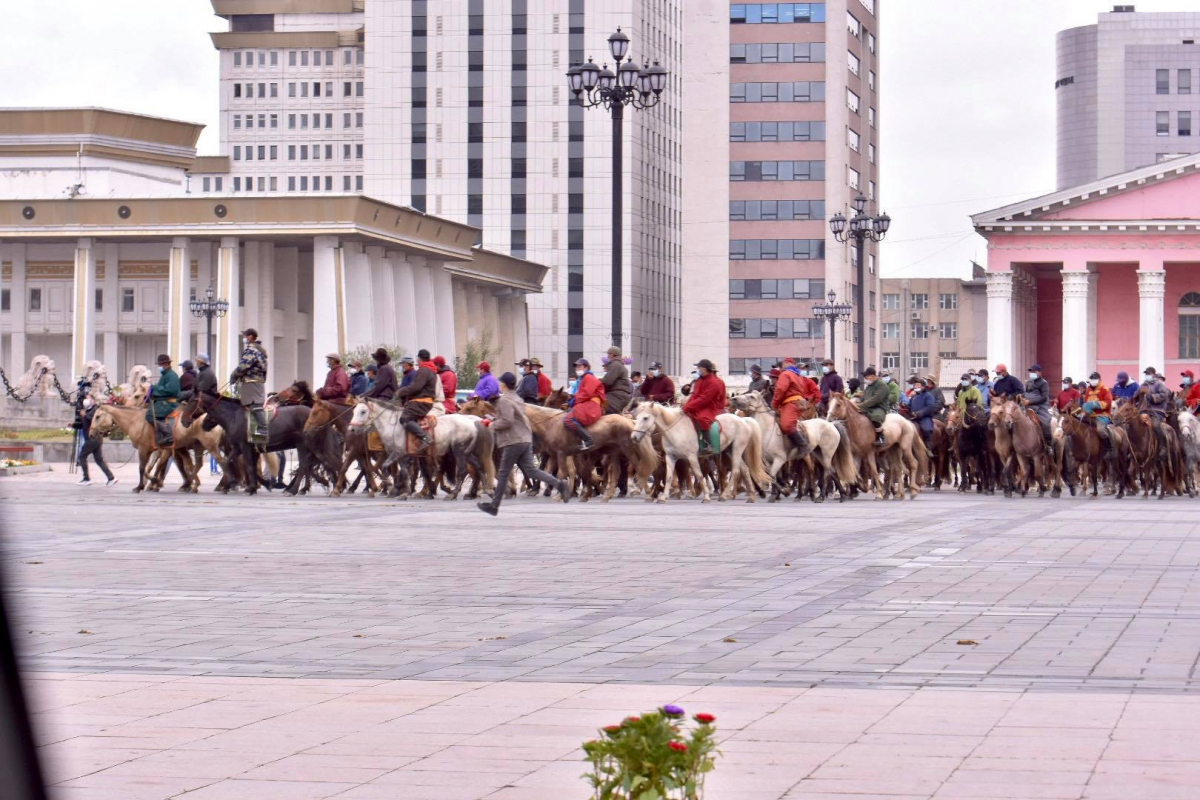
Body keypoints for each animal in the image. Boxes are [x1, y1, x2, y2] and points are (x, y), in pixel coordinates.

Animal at [628, 402, 768, 503]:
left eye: (645, 418)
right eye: (637, 417)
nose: (634, 437)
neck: (676, 429)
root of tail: (743, 420)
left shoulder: (691, 457)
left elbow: (699, 475)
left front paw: (705, 496)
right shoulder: (670, 457)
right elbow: (668, 476)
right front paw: (663, 497)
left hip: (737, 450)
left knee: (736, 471)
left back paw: (724, 495)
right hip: (729, 451)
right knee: (744, 469)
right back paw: (751, 496)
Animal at [724, 388, 859, 501]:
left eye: (751, 396)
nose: (734, 399)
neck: (768, 429)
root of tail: (831, 424)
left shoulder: (780, 459)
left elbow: (772, 475)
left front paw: (783, 491)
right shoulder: (769, 461)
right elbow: (773, 476)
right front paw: (778, 493)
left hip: (826, 454)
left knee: (826, 472)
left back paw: (820, 496)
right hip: (818, 453)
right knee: (832, 472)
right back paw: (841, 495)